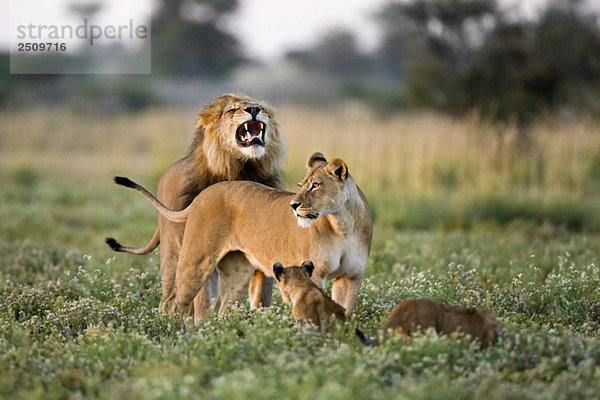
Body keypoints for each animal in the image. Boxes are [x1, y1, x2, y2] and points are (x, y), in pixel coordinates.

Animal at [106, 92, 288, 318]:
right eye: (232, 109)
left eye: (261, 108)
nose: (254, 109)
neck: (242, 170)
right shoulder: (202, 254)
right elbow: (203, 301)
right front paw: (205, 324)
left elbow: (261, 300)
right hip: (172, 257)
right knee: (167, 297)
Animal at [112, 152, 372, 320]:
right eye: (301, 185)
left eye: (316, 185)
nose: (293, 205)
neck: (343, 225)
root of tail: (204, 193)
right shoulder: (316, 274)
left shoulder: (351, 277)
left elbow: (345, 310)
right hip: (195, 262)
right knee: (175, 303)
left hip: (237, 274)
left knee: (221, 311)